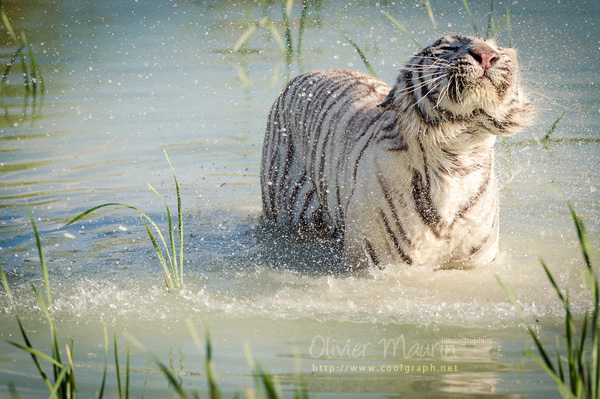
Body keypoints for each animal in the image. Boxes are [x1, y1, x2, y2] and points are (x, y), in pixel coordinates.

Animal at [260, 36, 532, 270]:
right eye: (449, 47)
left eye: (495, 48)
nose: (487, 56)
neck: (459, 156)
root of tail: (306, 73)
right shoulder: (382, 265)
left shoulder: (477, 265)